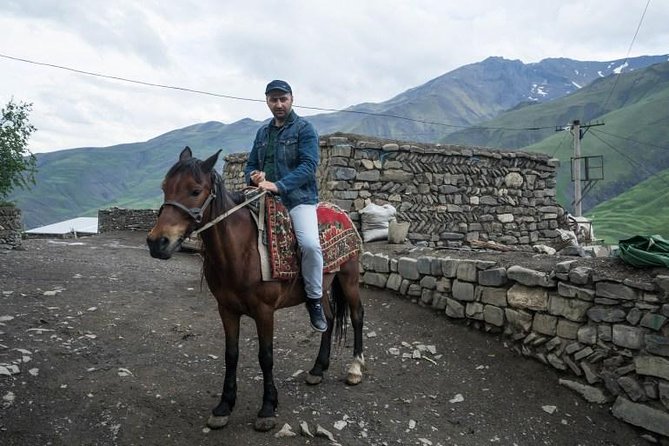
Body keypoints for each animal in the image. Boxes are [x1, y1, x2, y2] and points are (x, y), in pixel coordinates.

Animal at [147, 147, 366, 432]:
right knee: (326, 320)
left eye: (195, 190)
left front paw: (267, 408)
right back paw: (318, 370)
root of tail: (342, 212)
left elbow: (266, 356)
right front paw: (224, 406)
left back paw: (355, 369)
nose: (157, 242)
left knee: (357, 316)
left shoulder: (264, 312)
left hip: (349, 278)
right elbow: (231, 354)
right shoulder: (226, 309)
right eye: (164, 187)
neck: (241, 250)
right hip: (323, 284)